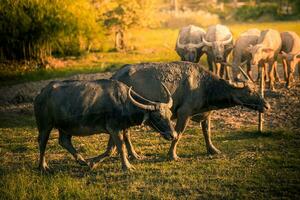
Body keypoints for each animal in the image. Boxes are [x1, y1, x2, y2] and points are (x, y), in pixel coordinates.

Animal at [34, 79, 177, 171]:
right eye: (158, 117)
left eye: (170, 114)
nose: (173, 135)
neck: (123, 102)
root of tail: (41, 93)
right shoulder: (114, 128)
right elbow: (120, 147)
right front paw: (127, 167)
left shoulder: (119, 128)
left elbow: (113, 148)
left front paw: (92, 162)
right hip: (45, 125)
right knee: (42, 142)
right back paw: (43, 166)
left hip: (65, 127)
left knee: (64, 141)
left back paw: (82, 161)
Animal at [92, 61, 270, 162]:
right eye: (249, 91)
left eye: (256, 88)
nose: (267, 106)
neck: (204, 85)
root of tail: (116, 75)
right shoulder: (184, 113)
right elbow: (178, 134)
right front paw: (172, 155)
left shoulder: (206, 114)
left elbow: (207, 132)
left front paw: (212, 150)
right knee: (126, 133)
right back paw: (133, 154)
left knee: (126, 133)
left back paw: (133, 155)